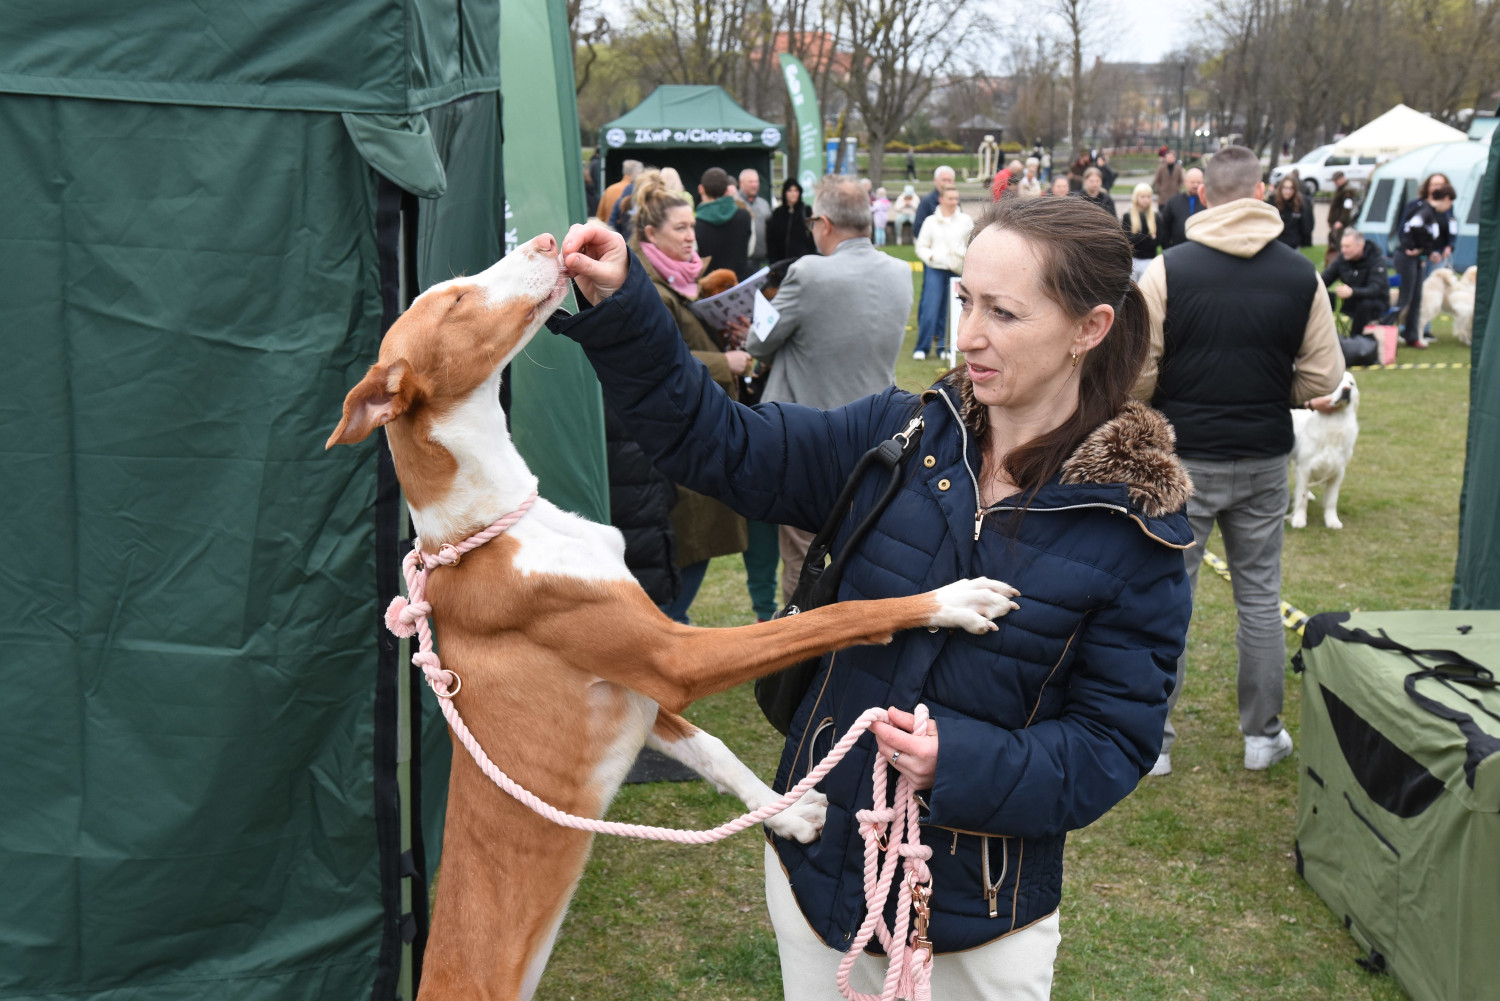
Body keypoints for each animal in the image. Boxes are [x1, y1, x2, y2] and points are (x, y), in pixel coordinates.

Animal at [325, 233, 1019, 1000]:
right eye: (453, 300)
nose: (547, 240)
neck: (489, 529)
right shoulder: (671, 658)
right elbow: (839, 612)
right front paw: (953, 600)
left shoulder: (641, 687)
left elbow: (713, 749)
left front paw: (789, 813)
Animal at [1289, 371, 1359, 530]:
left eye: (1351, 383)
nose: (1347, 389)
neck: (1335, 420)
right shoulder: (1304, 467)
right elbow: (1301, 497)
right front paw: (1299, 519)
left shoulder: (1338, 471)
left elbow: (1332, 500)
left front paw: (1332, 521)